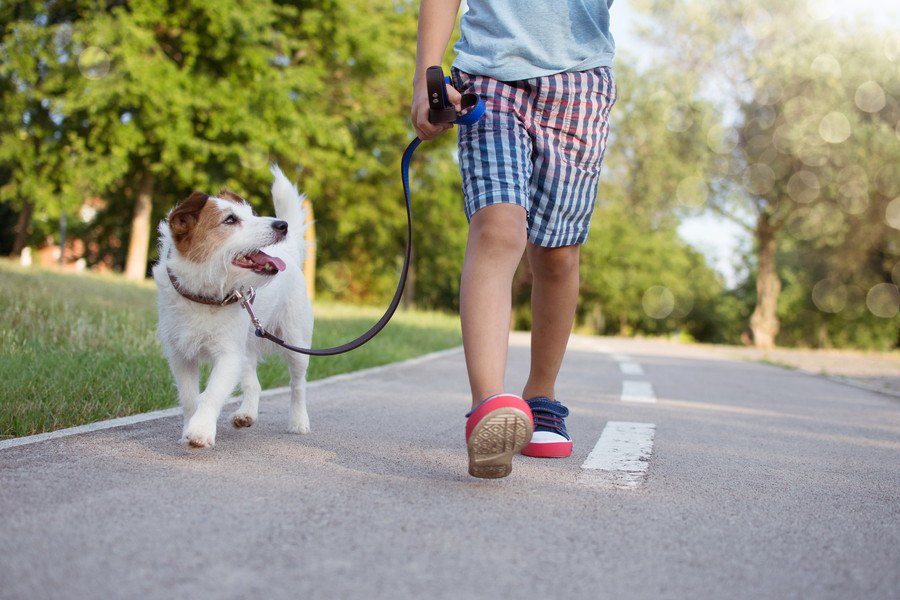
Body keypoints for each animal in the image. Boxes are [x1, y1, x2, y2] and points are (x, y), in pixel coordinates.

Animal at [152, 166, 312, 448]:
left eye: (252, 214)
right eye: (230, 220)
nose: (282, 225)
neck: (205, 297)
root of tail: (289, 252)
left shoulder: (227, 355)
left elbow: (212, 393)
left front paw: (201, 430)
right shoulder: (181, 355)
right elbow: (189, 397)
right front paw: (189, 427)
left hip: (296, 341)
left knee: (298, 385)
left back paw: (299, 421)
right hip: (246, 348)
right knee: (253, 383)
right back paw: (246, 413)